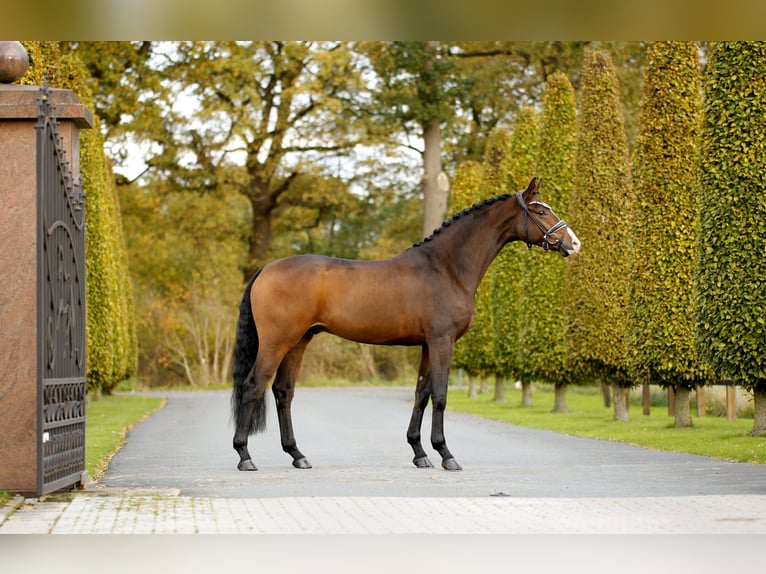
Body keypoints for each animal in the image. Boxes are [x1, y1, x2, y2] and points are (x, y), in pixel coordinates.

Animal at [231, 177, 580, 472]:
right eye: (540, 210)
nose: (574, 243)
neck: (445, 267)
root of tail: (266, 270)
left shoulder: (427, 344)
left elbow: (421, 393)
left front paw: (420, 453)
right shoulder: (442, 341)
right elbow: (440, 394)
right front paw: (446, 455)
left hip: (299, 340)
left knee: (283, 391)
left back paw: (298, 455)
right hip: (277, 341)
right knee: (253, 386)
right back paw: (245, 456)